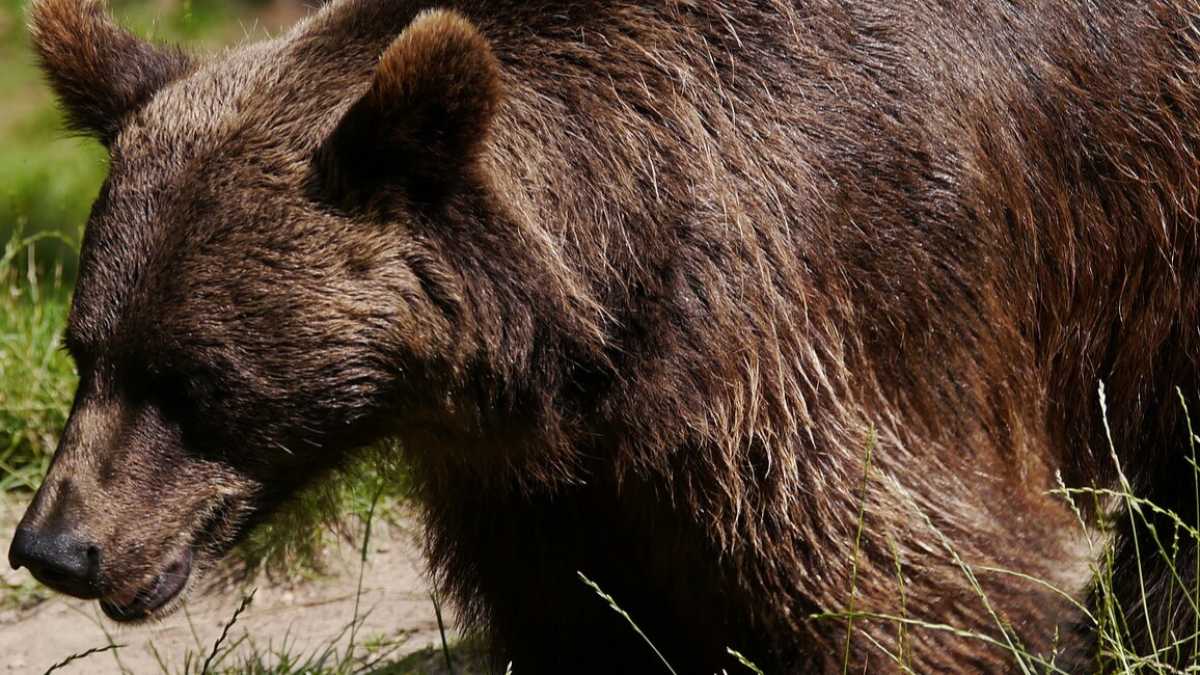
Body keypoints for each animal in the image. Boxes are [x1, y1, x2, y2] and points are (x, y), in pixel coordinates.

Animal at [10, 0, 1200, 671]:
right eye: (85, 350)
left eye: (193, 379)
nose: (56, 546)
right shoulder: (546, 484)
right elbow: (583, 615)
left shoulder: (822, 324)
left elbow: (910, 577)